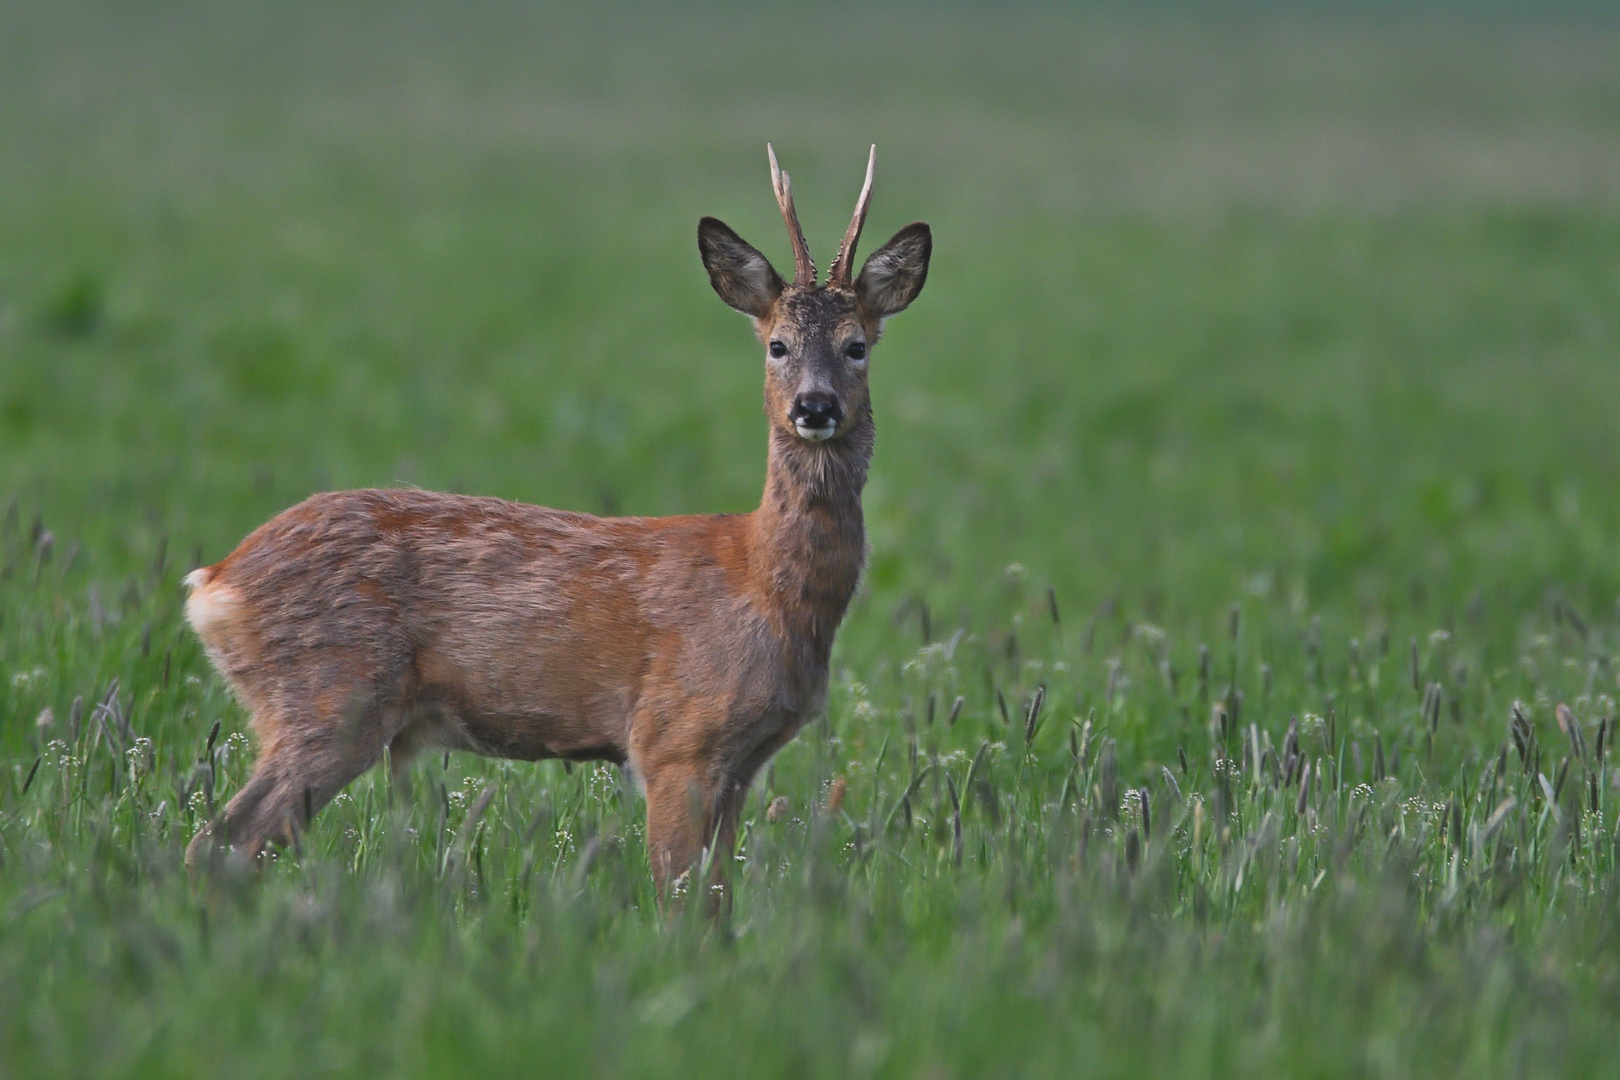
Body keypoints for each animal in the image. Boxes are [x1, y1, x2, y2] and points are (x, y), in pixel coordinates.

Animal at [183, 145, 933, 893]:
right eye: (777, 345)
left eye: (857, 345)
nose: (815, 406)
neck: (765, 584)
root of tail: (215, 583)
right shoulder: (673, 739)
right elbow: (677, 896)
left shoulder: (742, 764)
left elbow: (716, 898)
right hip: (328, 697)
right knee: (221, 839)